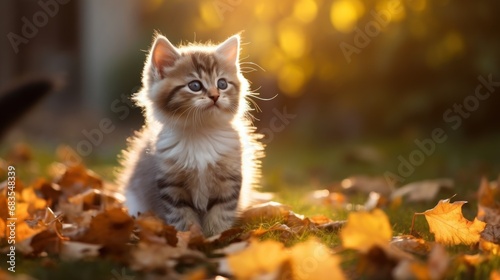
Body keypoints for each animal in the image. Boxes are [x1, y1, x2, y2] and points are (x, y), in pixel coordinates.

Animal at [119, 33, 264, 236]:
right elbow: (183, 218)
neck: (201, 133)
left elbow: (220, 214)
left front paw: (216, 237)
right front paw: (190, 238)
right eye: (195, 85)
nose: (215, 95)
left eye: (222, 84)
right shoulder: (171, 185)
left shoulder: (229, 180)